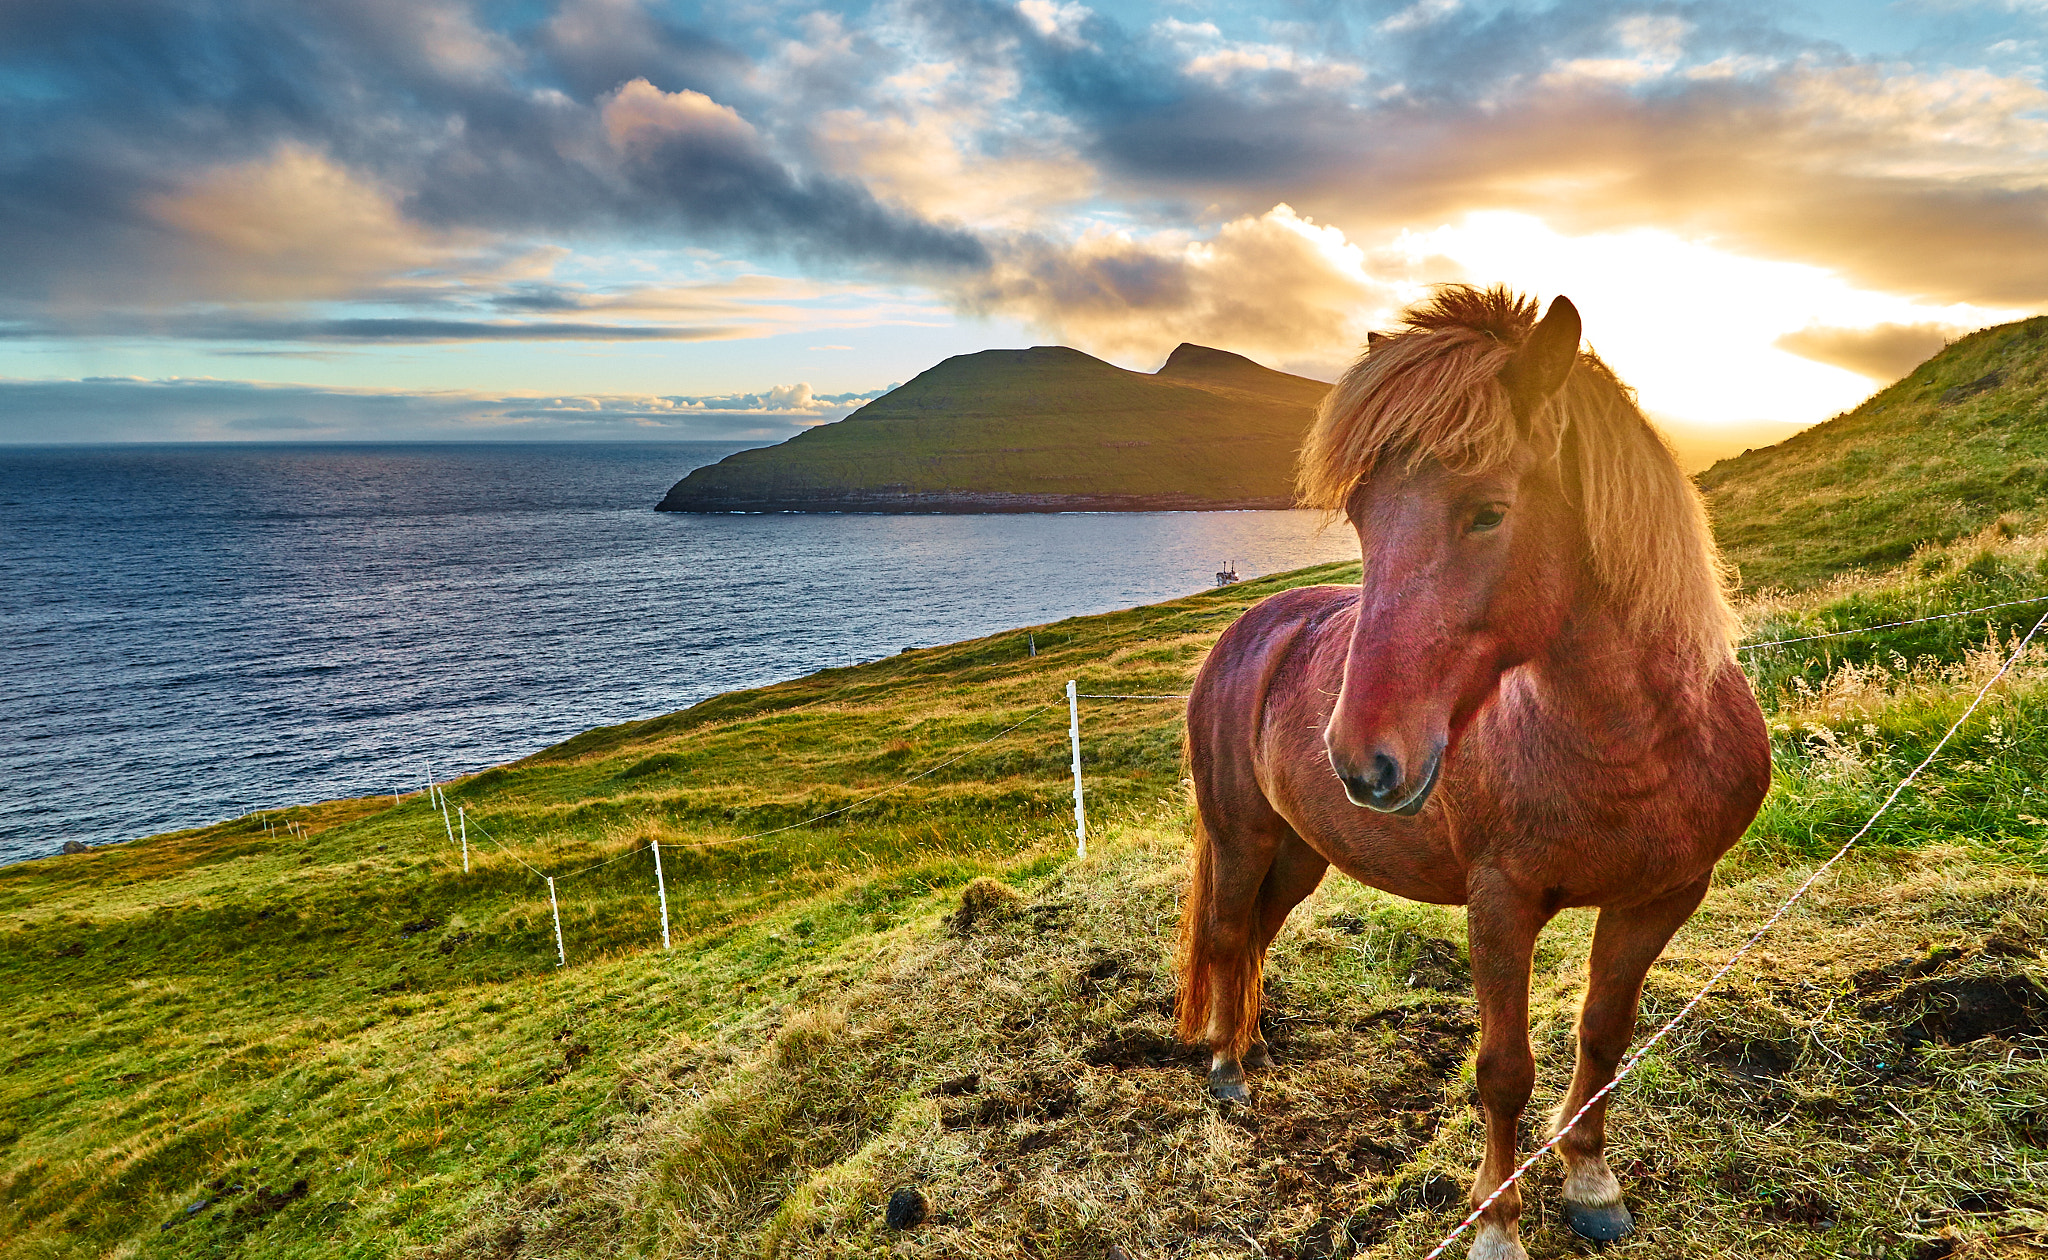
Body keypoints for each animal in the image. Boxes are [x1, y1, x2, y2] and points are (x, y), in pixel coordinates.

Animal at [1179, 288, 1769, 1260]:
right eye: (1361, 516)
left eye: (1487, 512)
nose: (1362, 758)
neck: (1631, 744)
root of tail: (1248, 629)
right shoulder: (1500, 903)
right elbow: (1503, 1071)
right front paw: (1496, 1224)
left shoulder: (1663, 896)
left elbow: (1604, 1035)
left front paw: (1591, 1180)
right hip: (1242, 835)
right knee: (1228, 932)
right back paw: (1228, 1065)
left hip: (1302, 852)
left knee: (1258, 933)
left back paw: (1254, 1045)